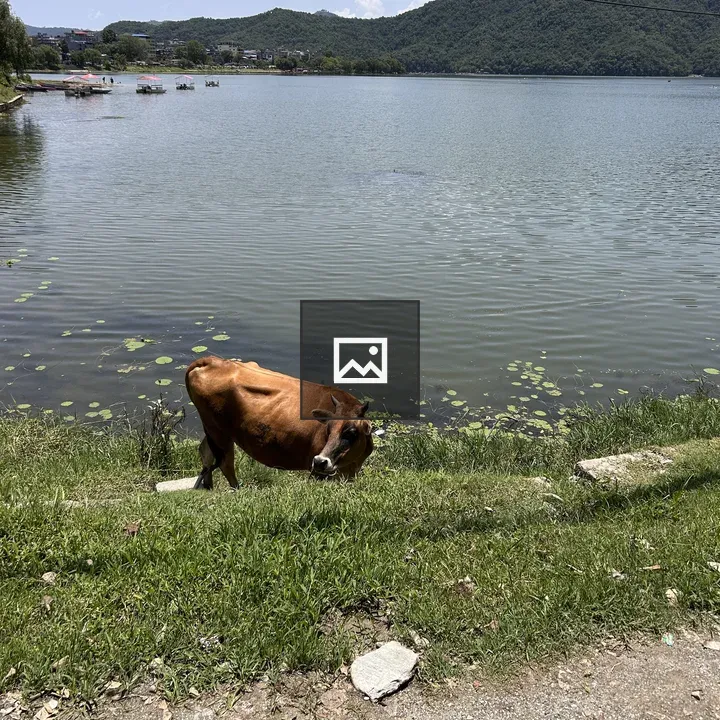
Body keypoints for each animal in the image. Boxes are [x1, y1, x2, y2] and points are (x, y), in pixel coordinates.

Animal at [185, 356, 374, 489]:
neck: (351, 463)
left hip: (211, 429)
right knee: (225, 463)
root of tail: (212, 360)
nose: (321, 461)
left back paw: (208, 487)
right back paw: (237, 490)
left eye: (351, 432)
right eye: (328, 429)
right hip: (218, 431)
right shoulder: (316, 471)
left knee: (205, 452)